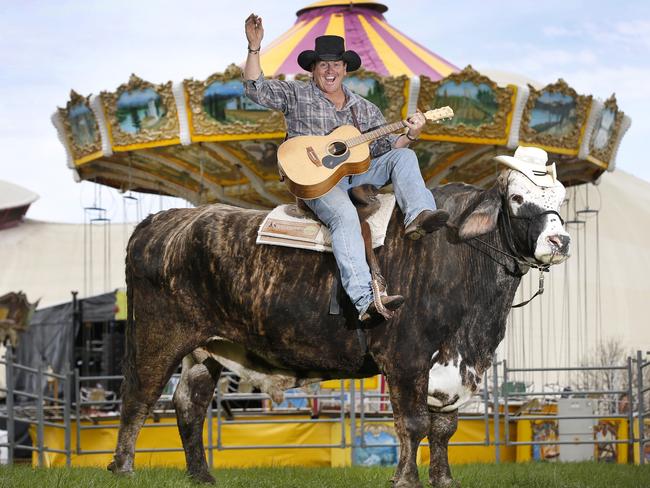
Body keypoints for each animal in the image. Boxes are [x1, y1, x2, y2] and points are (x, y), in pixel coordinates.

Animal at [109, 167, 564, 484]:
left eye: (561, 196)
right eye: (518, 197)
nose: (560, 241)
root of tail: (164, 220)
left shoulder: (454, 364)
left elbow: (443, 427)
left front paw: (443, 478)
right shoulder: (407, 357)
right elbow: (414, 423)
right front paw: (405, 479)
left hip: (208, 350)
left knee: (190, 404)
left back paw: (201, 475)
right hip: (156, 336)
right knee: (138, 397)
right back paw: (124, 467)